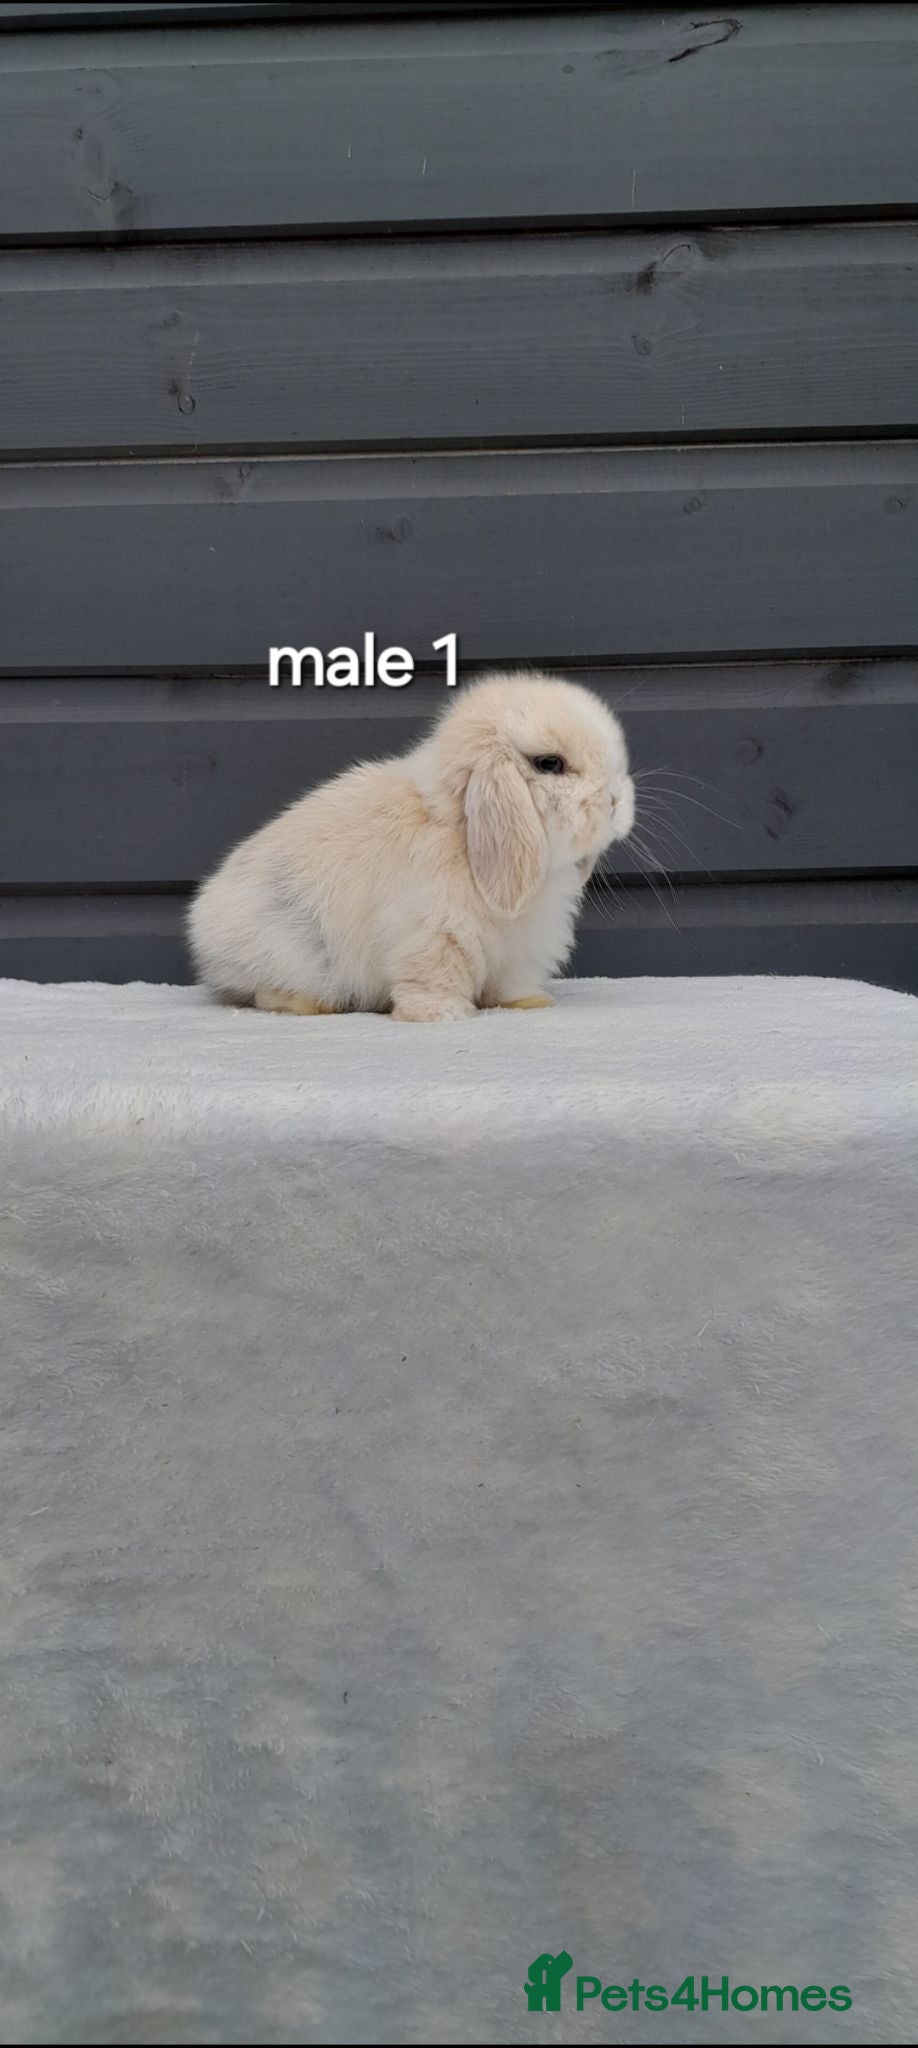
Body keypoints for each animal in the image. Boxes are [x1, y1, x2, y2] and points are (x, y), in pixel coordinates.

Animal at [187, 670, 635, 1022]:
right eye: (550, 763)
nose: (616, 800)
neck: (460, 832)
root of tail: (201, 927)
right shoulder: (434, 933)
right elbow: (432, 977)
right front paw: (442, 1015)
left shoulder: (519, 951)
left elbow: (509, 984)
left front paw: (529, 1002)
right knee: (261, 992)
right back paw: (310, 1004)